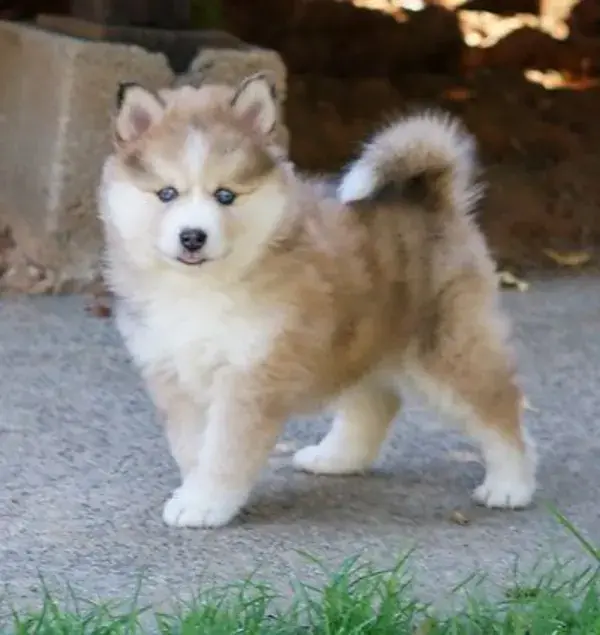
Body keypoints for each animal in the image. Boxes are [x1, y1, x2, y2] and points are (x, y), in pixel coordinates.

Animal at [99, 74, 540, 528]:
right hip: (361, 339)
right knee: (377, 402)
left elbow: (224, 450)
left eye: (225, 196)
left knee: (501, 408)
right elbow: (191, 446)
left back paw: (510, 485)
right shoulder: (173, 372)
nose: (192, 236)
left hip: (445, 349)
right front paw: (195, 491)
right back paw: (337, 458)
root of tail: (428, 195)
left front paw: (206, 502)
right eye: (167, 193)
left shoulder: (251, 376)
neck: (202, 288)